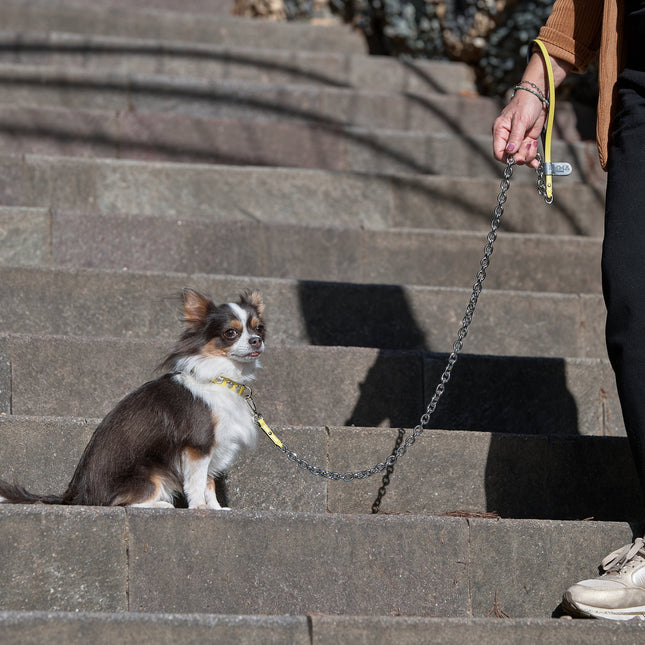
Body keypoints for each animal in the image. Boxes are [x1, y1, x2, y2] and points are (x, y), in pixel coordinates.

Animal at [0, 288, 264, 508]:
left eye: (259, 328)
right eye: (230, 333)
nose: (257, 341)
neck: (223, 377)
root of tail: (77, 496)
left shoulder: (213, 446)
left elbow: (209, 483)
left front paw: (217, 509)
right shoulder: (198, 444)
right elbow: (197, 483)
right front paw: (200, 509)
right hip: (152, 474)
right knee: (121, 502)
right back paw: (161, 505)